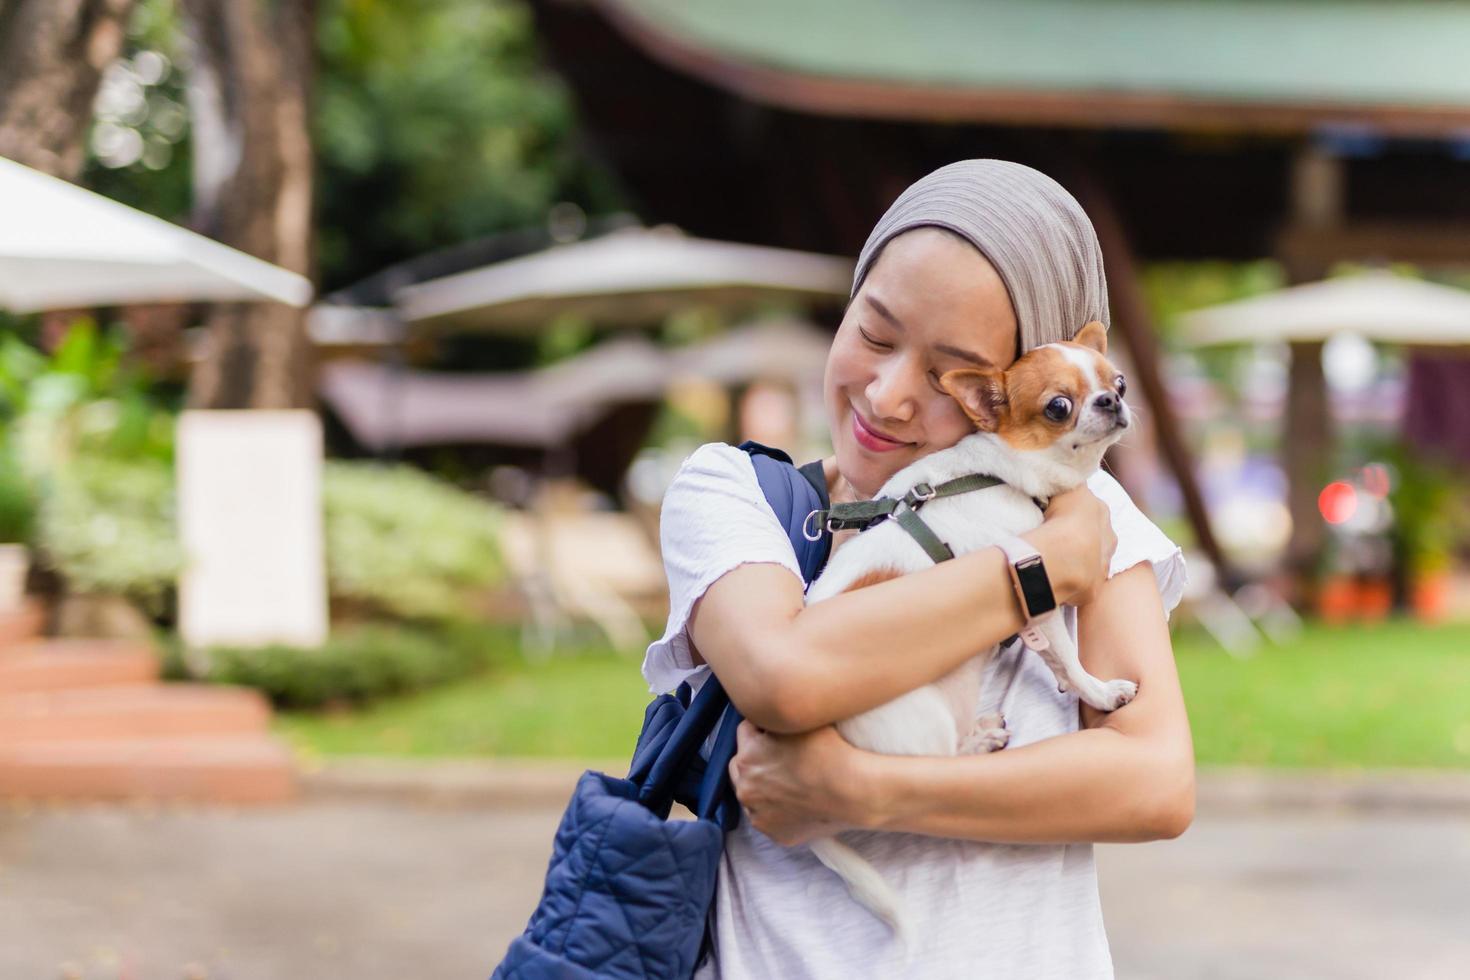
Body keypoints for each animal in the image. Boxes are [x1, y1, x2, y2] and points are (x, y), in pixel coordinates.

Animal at [805, 320, 1134, 940]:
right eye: (1059, 406)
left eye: (1119, 380)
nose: (1112, 400)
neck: (993, 472)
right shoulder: (1035, 582)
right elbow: (1070, 657)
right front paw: (1100, 691)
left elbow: (1053, 656)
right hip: (916, 729)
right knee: (931, 775)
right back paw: (979, 742)